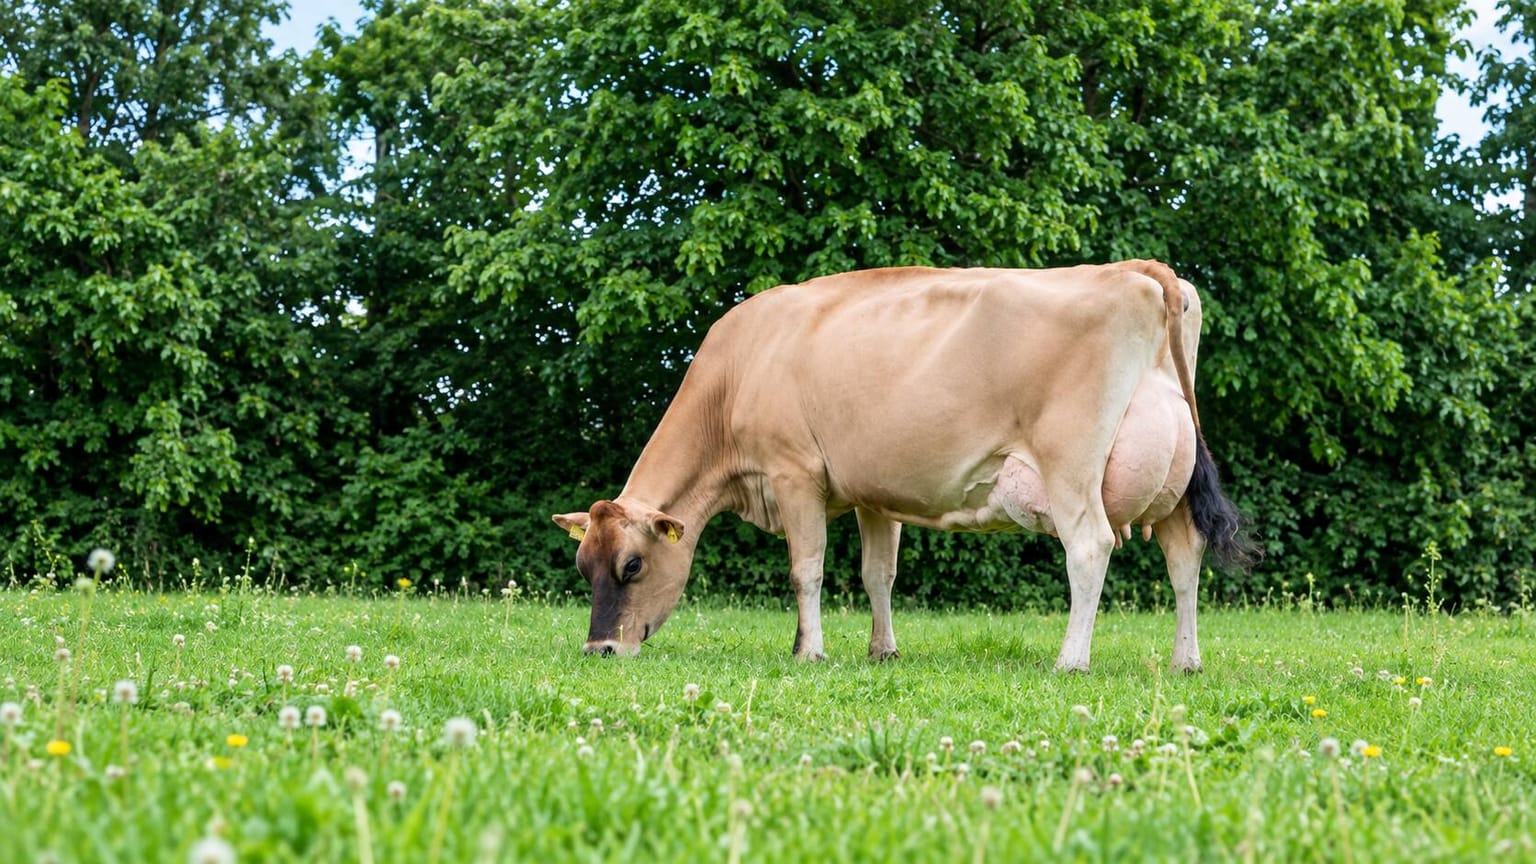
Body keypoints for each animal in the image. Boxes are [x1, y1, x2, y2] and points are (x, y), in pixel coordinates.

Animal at [553, 260, 1254, 672]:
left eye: (632, 565)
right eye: (583, 565)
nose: (599, 648)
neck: (737, 372)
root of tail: (1136, 268)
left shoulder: (794, 473)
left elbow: (807, 570)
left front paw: (809, 651)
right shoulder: (873, 493)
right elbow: (877, 576)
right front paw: (881, 649)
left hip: (1071, 466)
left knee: (1090, 548)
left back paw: (1070, 660)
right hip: (1173, 479)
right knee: (1185, 557)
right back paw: (1185, 661)